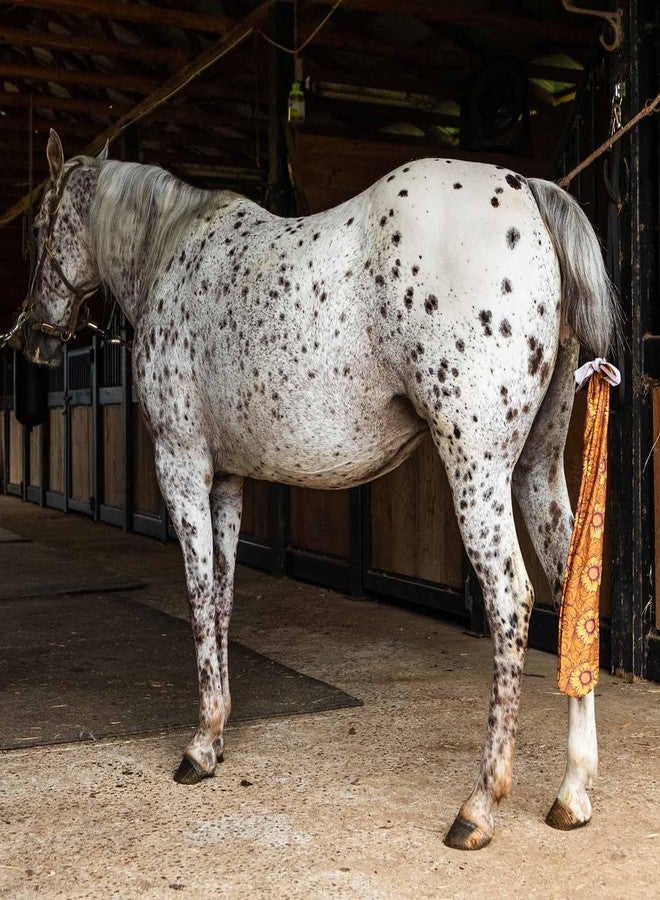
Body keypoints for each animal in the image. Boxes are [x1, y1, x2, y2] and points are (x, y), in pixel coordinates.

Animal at [22, 129, 619, 850]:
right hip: (537, 465)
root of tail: (525, 190)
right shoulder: (228, 481)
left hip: (477, 465)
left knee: (512, 599)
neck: (171, 248)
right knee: (571, 583)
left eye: (38, 227)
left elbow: (197, 598)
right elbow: (223, 599)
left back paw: (478, 807)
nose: (32, 340)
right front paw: (218, 735)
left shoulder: (183, 466)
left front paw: (199, 746)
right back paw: (573, 792)